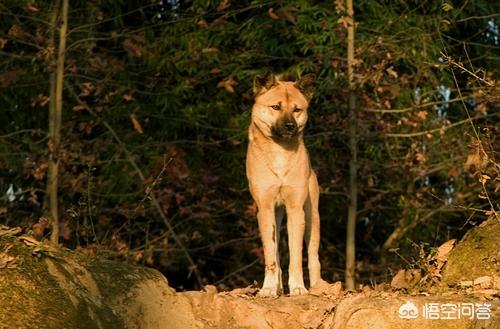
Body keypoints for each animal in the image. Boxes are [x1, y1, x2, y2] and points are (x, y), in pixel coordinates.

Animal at [247, 73, 324, 296]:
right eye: (275, 107)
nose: (290, 126)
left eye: (297, 109)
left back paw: (318, 287)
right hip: (276, 215)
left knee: (314, 258)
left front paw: (298, 287)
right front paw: (268, 289)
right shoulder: (264, 209)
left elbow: (296, 256)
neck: (279, 151)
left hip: (312, 218)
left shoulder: (296, 210)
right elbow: (271, 257)